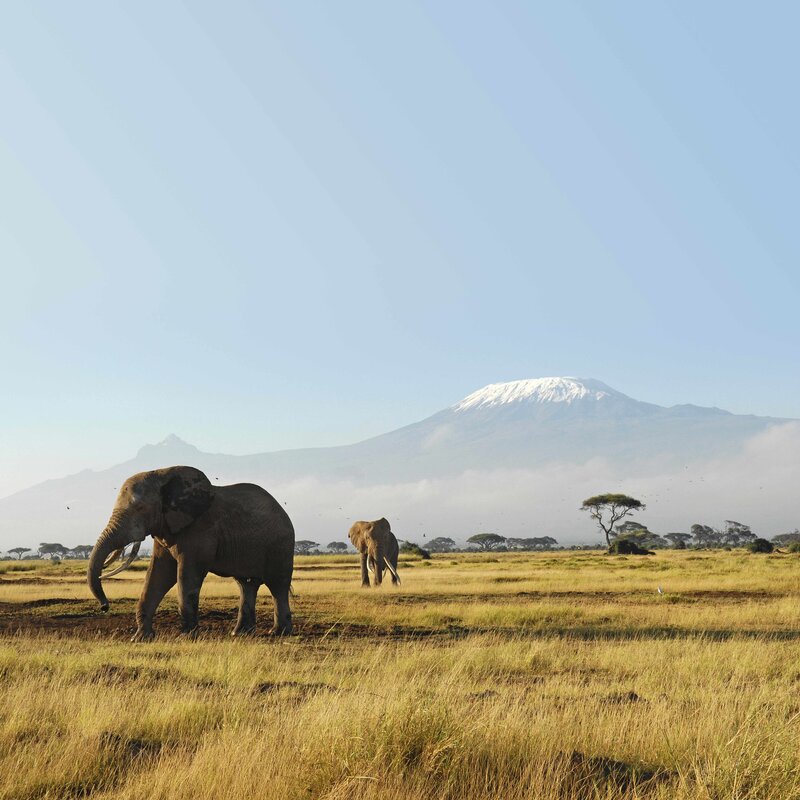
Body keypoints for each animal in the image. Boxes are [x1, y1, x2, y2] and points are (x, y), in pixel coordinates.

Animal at [87, 466, 294, 641]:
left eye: (140, 508)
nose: (104, 607)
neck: (162, 474)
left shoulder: (200, 530)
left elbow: (187, 575)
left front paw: (186, 636)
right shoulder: (166, 527)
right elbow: (159, 574)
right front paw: (140, 638)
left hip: (281, 545)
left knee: (278, 586)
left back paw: (278, 633)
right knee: (246, 585)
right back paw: (239, 633)